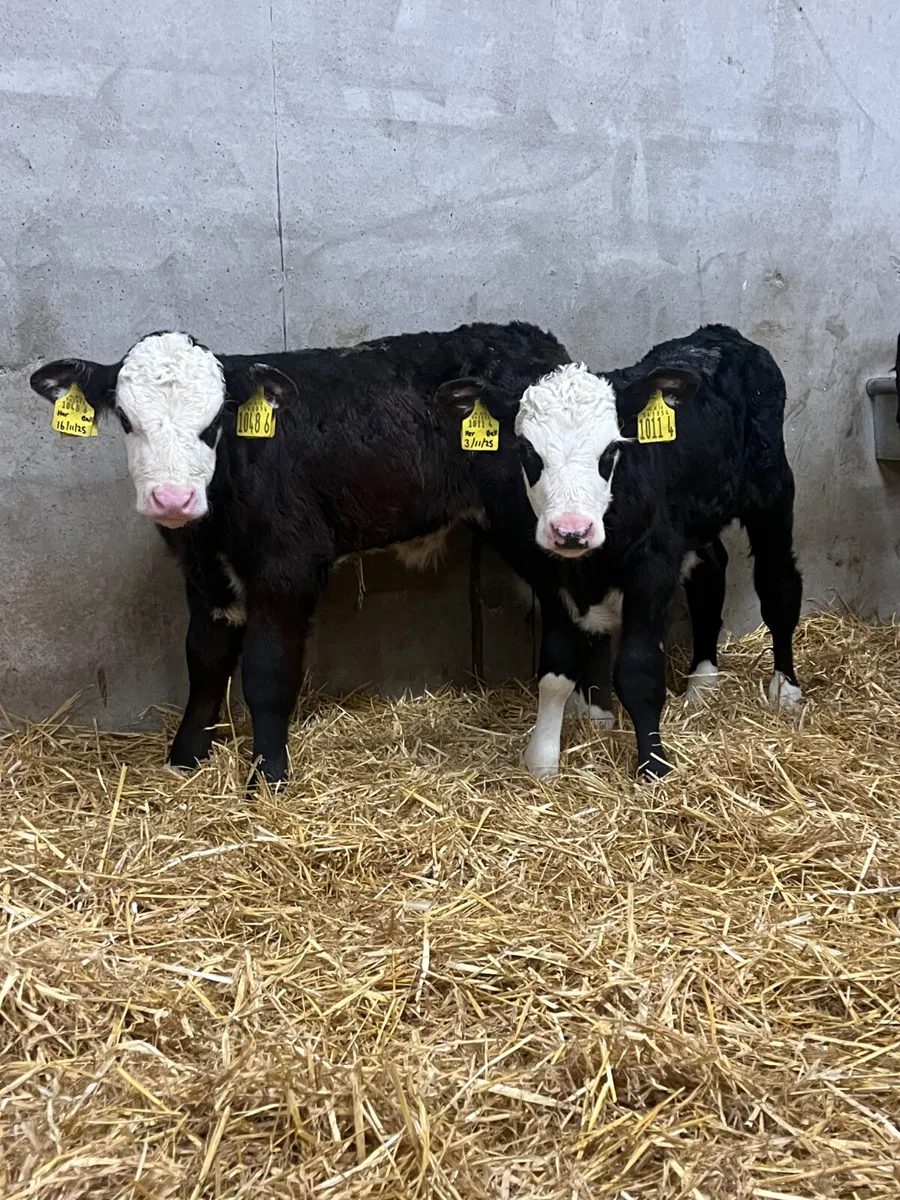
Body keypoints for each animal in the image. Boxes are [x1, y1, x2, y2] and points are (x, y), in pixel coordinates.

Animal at [30, 322, 572, 783]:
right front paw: (185, 757)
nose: (172, 499)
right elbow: (205, 660)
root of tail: (531, 340)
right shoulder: (205, 575)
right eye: (126, 419)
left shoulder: (287, 567)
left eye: (214, 421)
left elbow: (267, 672)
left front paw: (267, 776)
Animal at [436, 324, 803, 779]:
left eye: (611, 450)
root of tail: (720, 335)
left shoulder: (652, 568)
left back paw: (785, 688)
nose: (571, 530)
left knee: (778, 587)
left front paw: (653, 766)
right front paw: (544, 759)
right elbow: (556, 670)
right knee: (710, 575)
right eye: (526, 450)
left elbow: (638, 670)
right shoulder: (549, 578)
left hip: (772, 493)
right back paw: (702, 681)